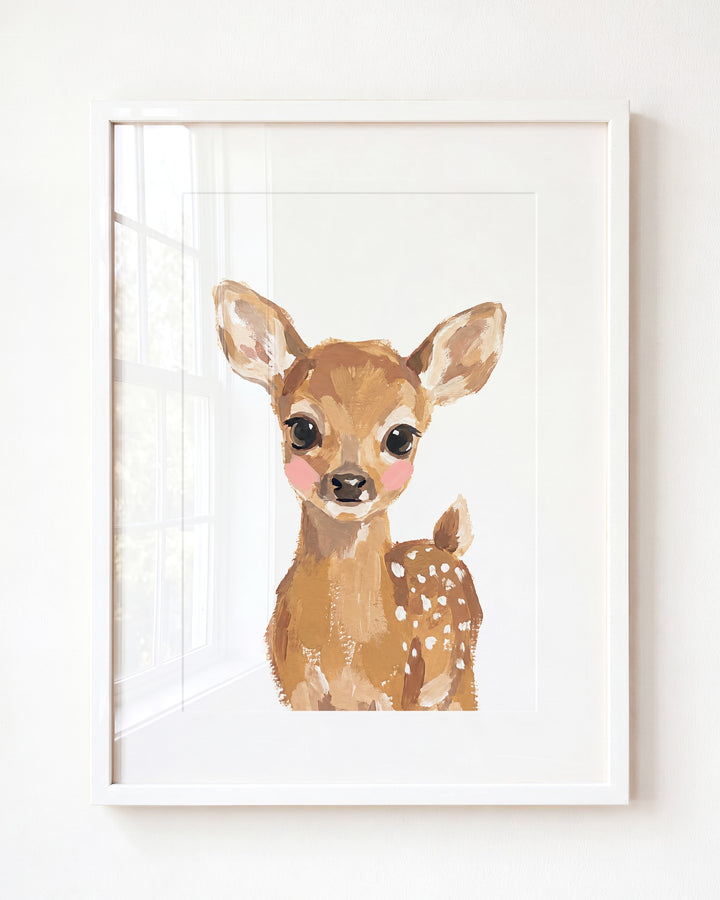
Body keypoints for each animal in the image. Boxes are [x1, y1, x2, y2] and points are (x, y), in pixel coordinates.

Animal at [214, 280, 506, 710]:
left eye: (401, 437)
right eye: (301, 428)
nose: (350, 481)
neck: (345, 654)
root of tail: (445, 545)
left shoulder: (396, 689)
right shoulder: (295, 689)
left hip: (461, 672)